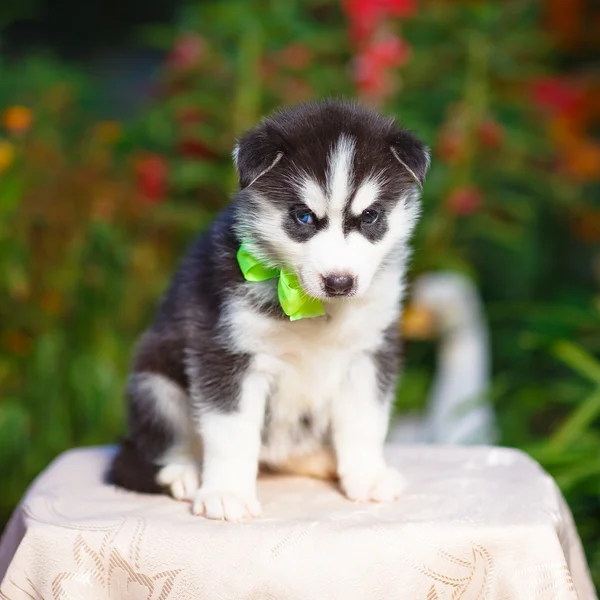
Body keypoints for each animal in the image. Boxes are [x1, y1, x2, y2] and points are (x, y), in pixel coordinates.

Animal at [110, 99, 428, 520]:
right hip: (156, 384)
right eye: (303, 216)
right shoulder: (226, 353)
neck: (313, 307)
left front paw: (368, 476)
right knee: (163, 441)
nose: (339, 283)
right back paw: (181, 472)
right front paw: (227, 492)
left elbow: (365, 421)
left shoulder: (369, 353)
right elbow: (231, 432)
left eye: (370, 216)